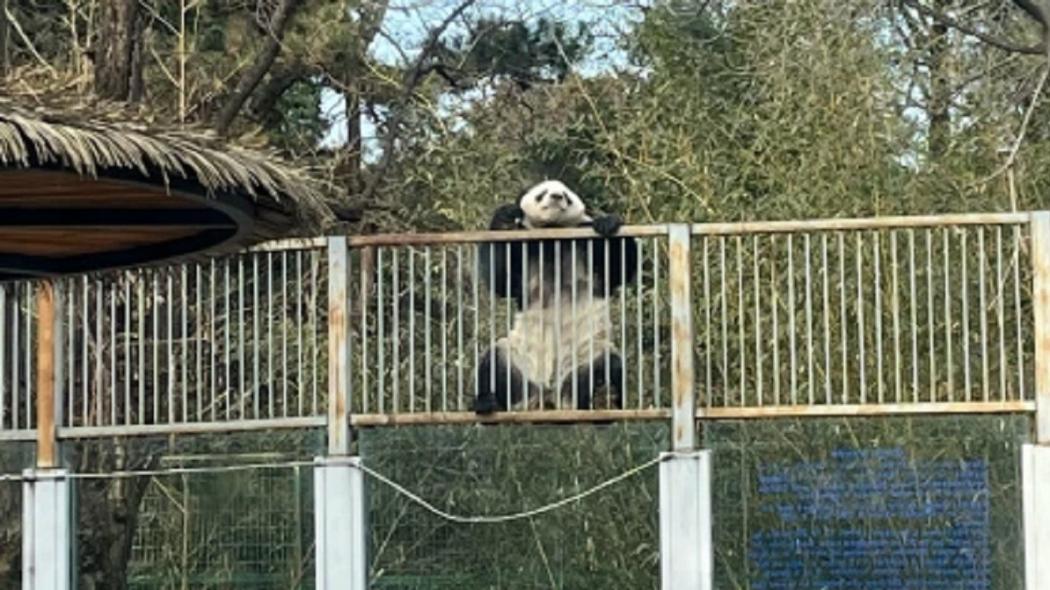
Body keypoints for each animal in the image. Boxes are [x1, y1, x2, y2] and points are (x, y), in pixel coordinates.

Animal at [474, 179, 639, 414]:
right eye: (542, 193)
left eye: (567, 196)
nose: (556, 197)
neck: (552, 236)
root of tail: (548, 397)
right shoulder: (526, 251)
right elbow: (501, 281)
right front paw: (505, 220)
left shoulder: (583, 246)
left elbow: (618, 269)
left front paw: (607, 222)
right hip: (522, 360)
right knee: (496, 359)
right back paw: (488, 402)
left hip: (583, 358)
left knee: (607, 363)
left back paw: (602, 398)